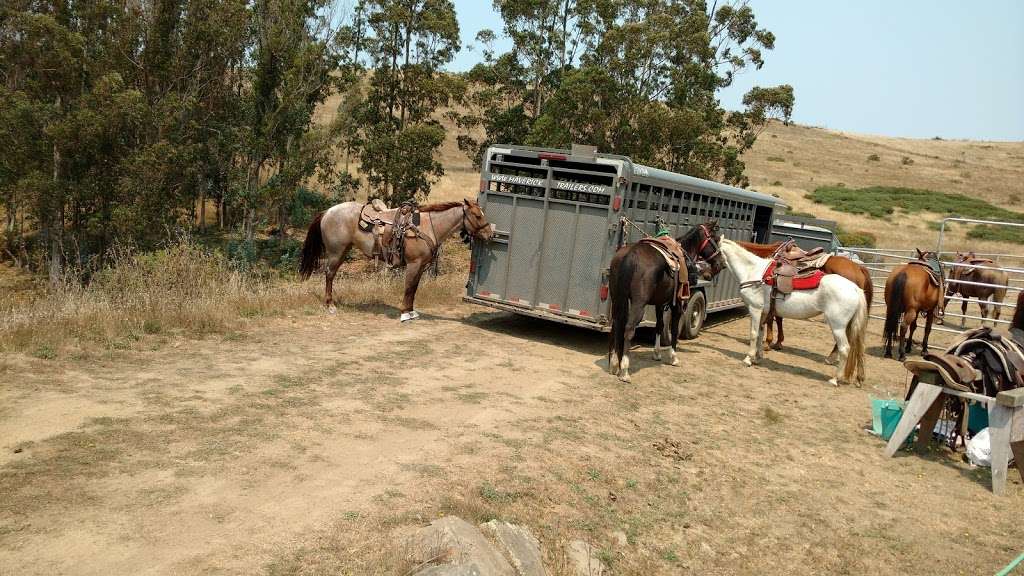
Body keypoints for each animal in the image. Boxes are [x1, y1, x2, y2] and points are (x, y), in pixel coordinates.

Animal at [299, 198, 494, 320]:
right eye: (478, 215)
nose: (490, 234)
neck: (427, 227)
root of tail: (327, 212)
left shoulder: (420, 266)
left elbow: (414, 289)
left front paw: (411, 311)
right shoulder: (414, 264)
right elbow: (408, 288)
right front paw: (404, 313)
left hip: (343, 251)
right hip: (335, 252)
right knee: (329, 274)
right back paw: (330, 305)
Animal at [607, 221, 726, 383]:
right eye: (715, 238)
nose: (722, 263)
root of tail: (629, 255)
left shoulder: (659, 303)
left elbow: (659, 325)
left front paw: (657, 353)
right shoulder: (678, 303)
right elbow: (674, 328)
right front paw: (673, 357)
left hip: (617, 298)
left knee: (616, 325)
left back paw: (614, 363)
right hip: (638, 304)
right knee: (629, 328)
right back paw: (624, 370)